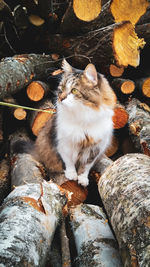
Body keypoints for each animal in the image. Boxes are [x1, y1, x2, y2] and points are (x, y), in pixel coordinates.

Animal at [32, 59, 116, 187]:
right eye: (61, 88)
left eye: (74, 90)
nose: (60, 98)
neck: (83, 117)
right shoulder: (64, 144)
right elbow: (69, 162)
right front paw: (71, 174)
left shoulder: (95, 149)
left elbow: (86, 167)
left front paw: (82, 179)